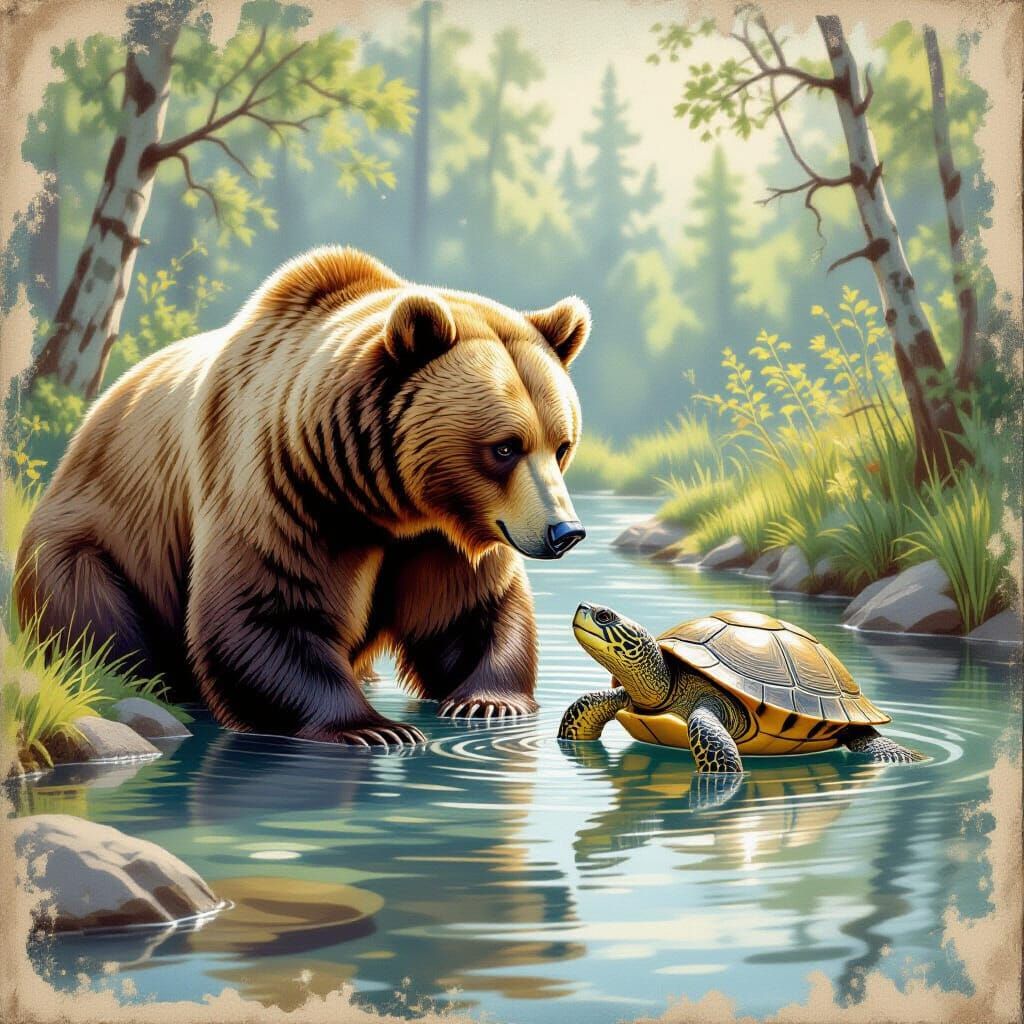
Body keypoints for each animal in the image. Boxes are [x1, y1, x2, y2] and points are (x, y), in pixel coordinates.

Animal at [15, 246, 590, 747]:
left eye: (561, 445)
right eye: (505, 447)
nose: (565, 532)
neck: (386, 498)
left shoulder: (441, 533)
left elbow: (467, 608)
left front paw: (487, 701)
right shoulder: (287, 486)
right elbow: (270, 604)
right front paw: (372, 728)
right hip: (91, 541)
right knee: (93, 615)